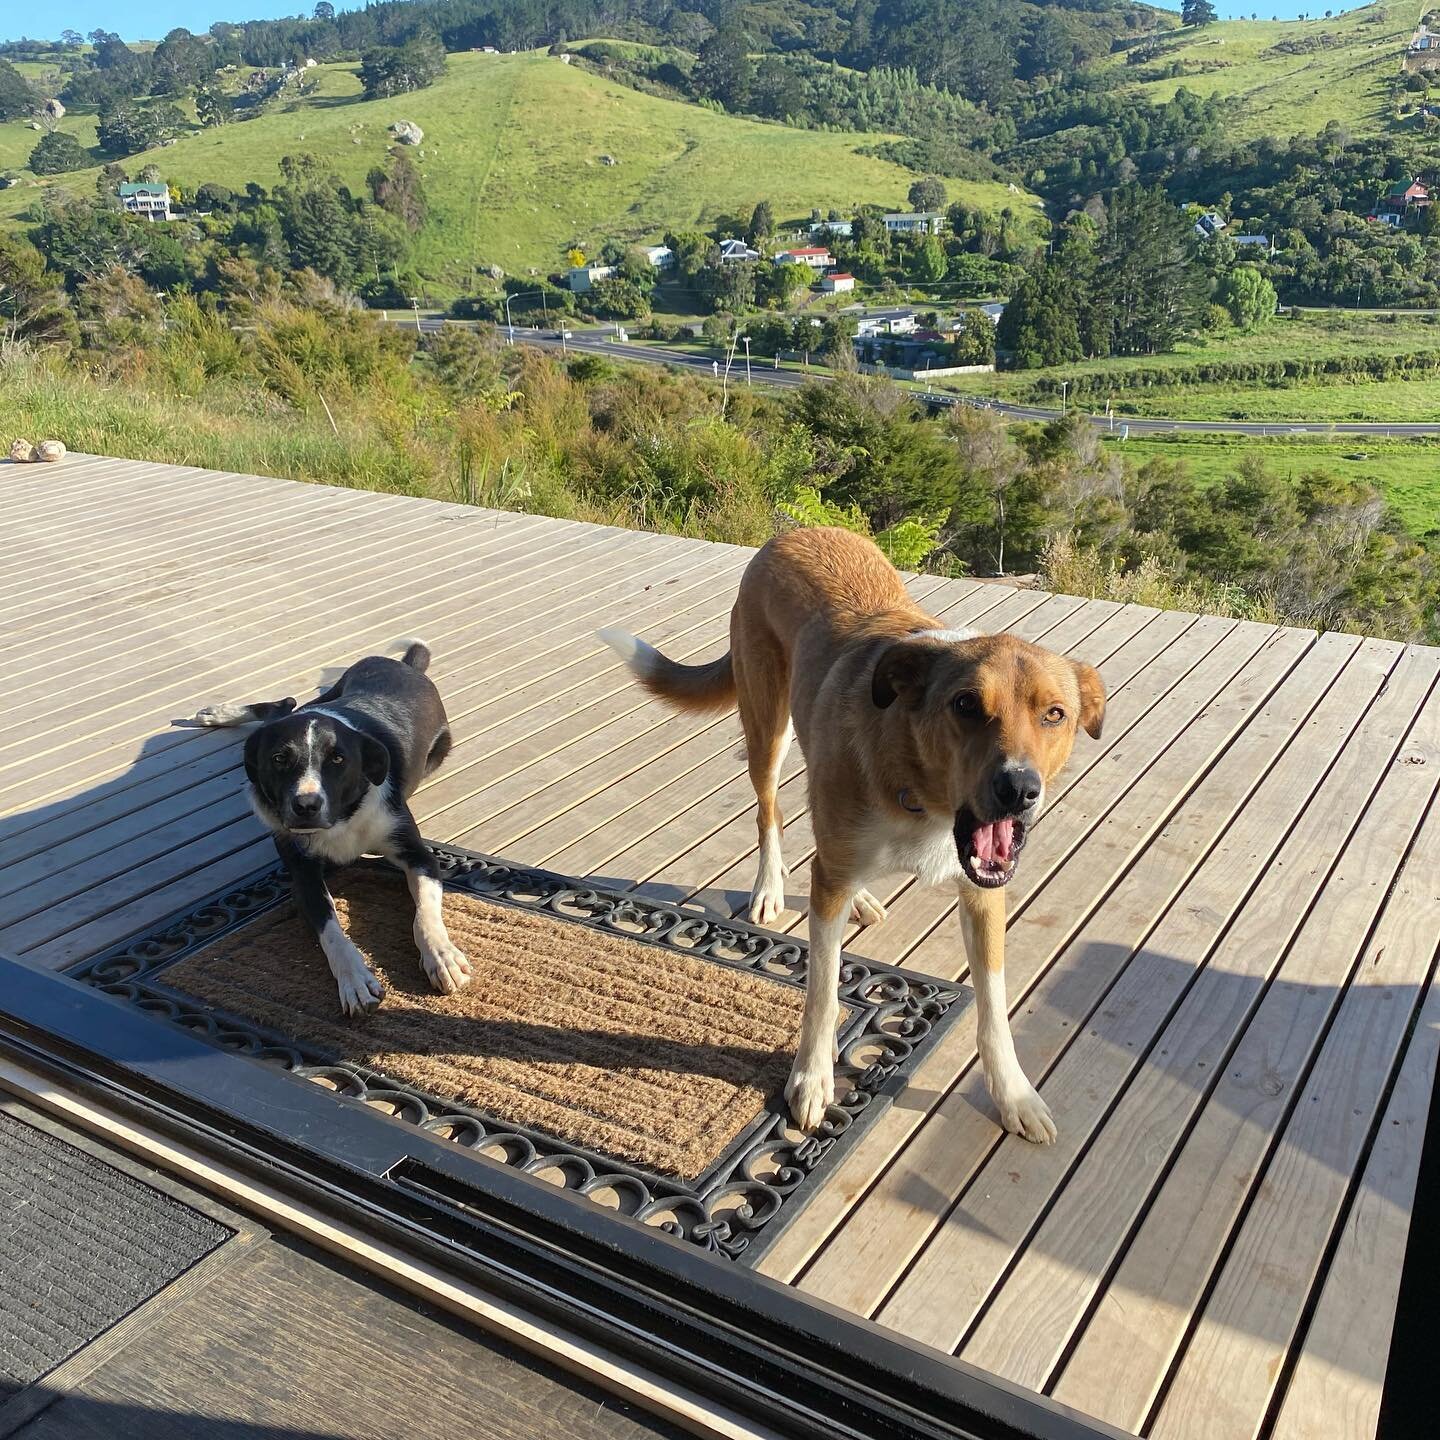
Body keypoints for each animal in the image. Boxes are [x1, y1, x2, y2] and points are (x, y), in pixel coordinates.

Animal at [191, 642, 469, 1013]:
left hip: (439, 748)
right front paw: (354, 979)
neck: (342, 819)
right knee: (284, 705)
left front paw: (441, 955)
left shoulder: (419, 855)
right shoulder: (302, 874)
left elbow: (425, 912)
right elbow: (331, 930)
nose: (306, 806)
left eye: (338, 759)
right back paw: (219, 713)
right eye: (279, 759)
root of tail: (406, 665)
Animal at [596, 529, 1100, 1146]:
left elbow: (993, 1007)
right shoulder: (834, 884)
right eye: (965, 705)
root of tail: (788, 533)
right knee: (770, 813)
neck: (922, 793)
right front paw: (812, 1081)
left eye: (1054, 714)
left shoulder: (984, 892)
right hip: (768, 728)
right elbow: (822, 991)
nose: (1018, 789)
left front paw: (1014, 1095)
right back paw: (769, 888)